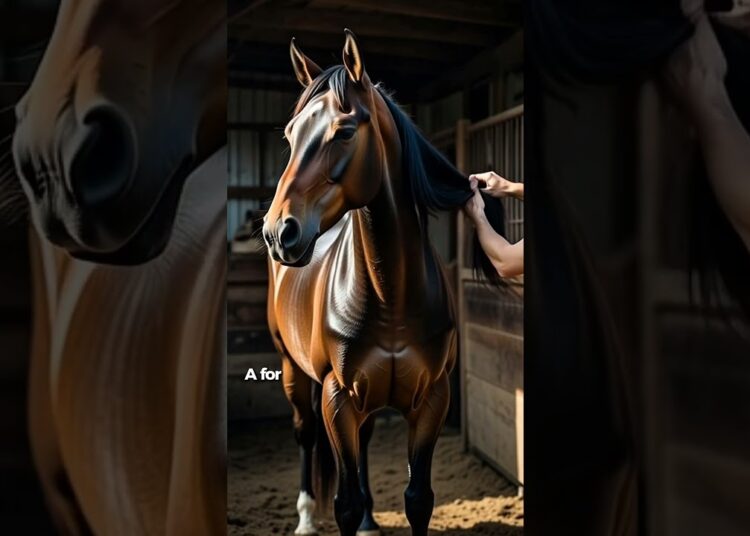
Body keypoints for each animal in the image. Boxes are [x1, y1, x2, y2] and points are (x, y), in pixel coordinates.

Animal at [263, 30, 504, 536]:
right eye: (290, 136)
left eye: (344, 131)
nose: (279, 232)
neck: (390, 294)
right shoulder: (337, 398)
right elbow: (344, 501)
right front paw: (339, 514)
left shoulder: (432, 398)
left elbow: (419, 499)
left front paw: (372, 514)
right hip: (292, 370)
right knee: (305, 433)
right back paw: (305, 517)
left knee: (366, 440)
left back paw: (372, 517)